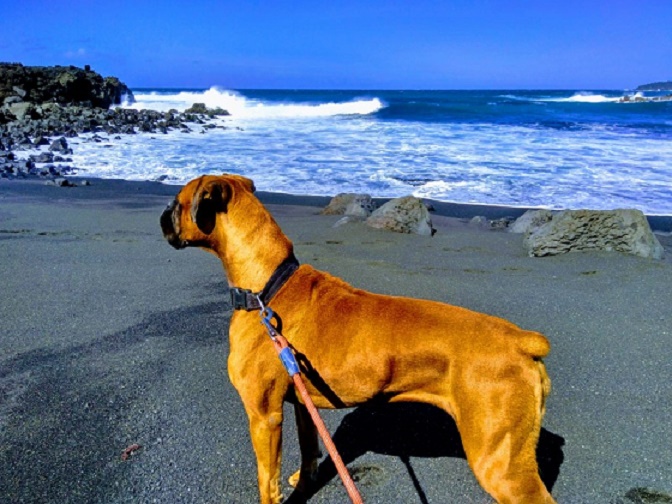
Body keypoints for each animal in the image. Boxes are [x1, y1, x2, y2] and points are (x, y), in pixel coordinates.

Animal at [161, 174, 555, 504]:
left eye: (176, 203)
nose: (161, 216)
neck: (266, 288)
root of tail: (521, 340)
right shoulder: (302, 404)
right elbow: (309, 450)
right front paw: (305, 480)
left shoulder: (264, 416)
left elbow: (266, 480)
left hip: (500, 465)